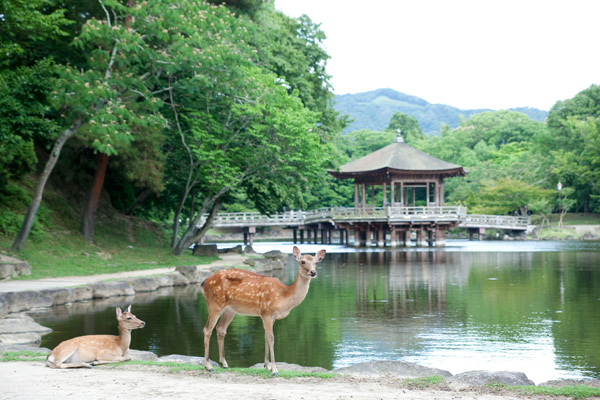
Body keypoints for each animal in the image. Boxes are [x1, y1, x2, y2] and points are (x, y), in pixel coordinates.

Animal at [200, 245, 324, 376]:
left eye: (316, 262)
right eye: (303, 261)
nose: (313, 272)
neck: (284, 295)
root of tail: (204, 283)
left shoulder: (271, 317)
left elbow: (265, 337)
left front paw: (267, 366)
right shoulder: (266, 312)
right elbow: (271, 338)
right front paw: (274, 370)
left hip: (230, 309)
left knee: (221, 329)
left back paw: (224, 363)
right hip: (214, 303)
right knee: (207, 329)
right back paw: (208, 366)